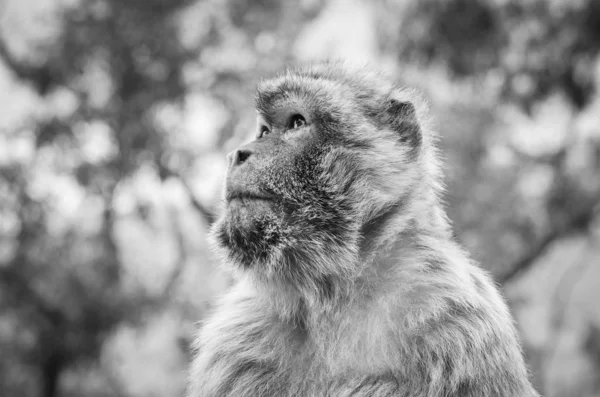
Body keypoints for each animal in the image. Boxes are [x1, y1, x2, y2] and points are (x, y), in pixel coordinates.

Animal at [188, 63, 540, 394]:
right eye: (264, 131)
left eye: (297, 123)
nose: (237, 154)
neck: (332, 290)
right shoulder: (238, 334)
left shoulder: (454, 315)